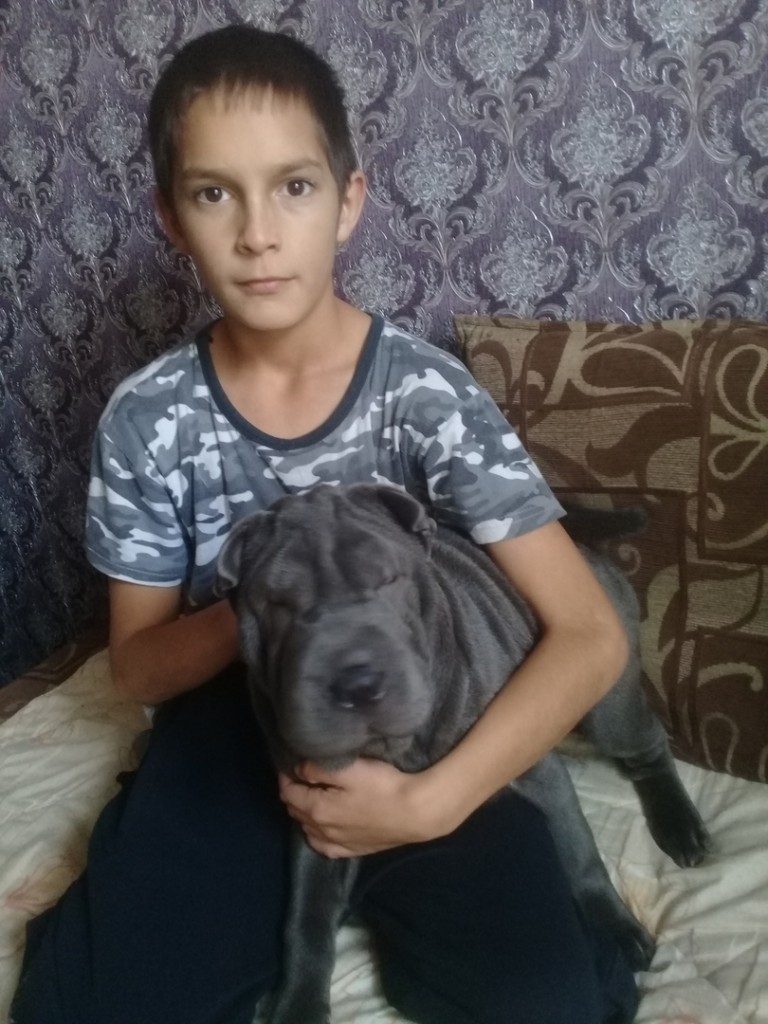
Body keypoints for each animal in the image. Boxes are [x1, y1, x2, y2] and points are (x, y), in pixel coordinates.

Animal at [216, 483, 711, 1024]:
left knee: (649, 743)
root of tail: (582, 538)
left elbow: (580, 855)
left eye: (390, 580)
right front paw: (297, 1006)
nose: (357, 682)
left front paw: (614, 929)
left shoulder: (536, 770)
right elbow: (305, 923)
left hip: (607, 708)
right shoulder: (318, 819)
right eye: (278, 603)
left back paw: (680, 824)